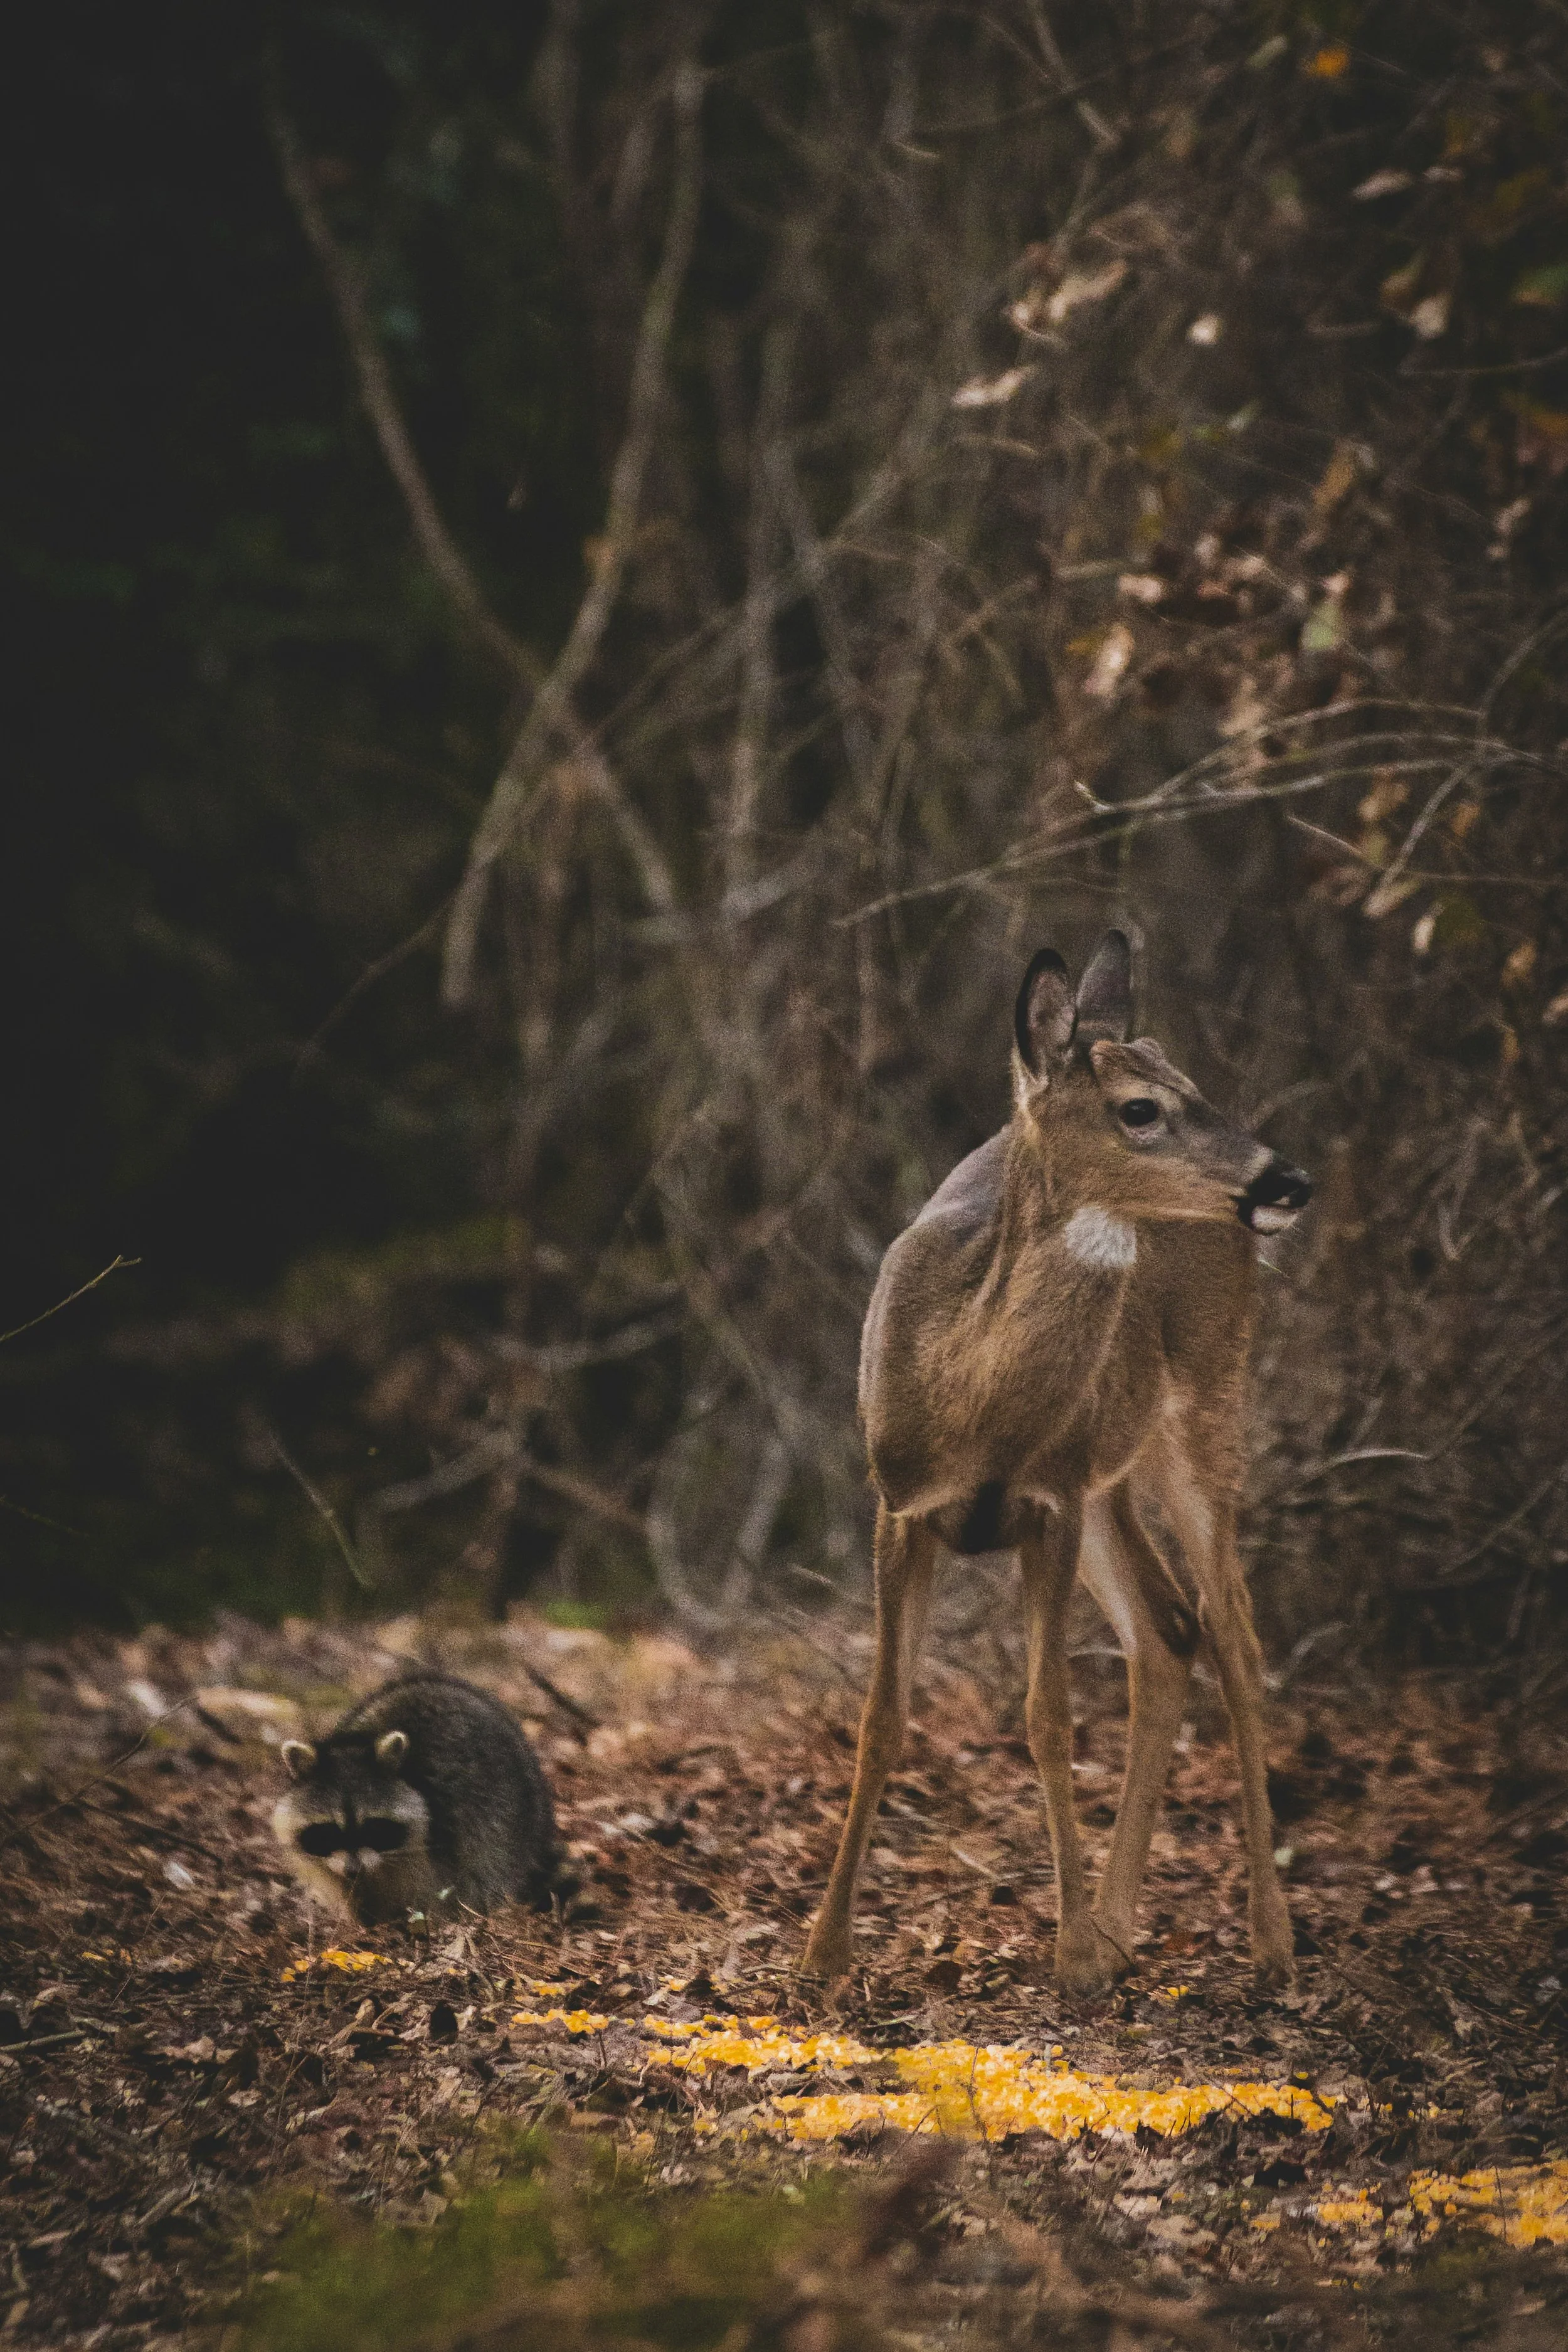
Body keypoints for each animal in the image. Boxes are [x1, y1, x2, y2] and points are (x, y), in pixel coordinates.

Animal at [273, 1671, 559, 1928]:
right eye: (329, 1831)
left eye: (374, 1827)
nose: (354, 1870)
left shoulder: (446, 1830)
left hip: (513, 1813)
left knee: (491, 1862)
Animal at [801, 930, 1312, 1996]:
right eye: (1140, 1107)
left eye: (1197, 1084)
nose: (1287, 1181)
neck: (971, 1394)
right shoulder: (901, 1503)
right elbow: (881, 1717)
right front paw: (822, 1952)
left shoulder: (1050, 1501)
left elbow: (1047, 1714)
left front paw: (1069, 1949)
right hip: (1112, 1471)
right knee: (1168, 1630)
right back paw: (1121, 1925)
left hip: (1204, 1413)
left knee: (1234, 1636)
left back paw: (1267, 1937)